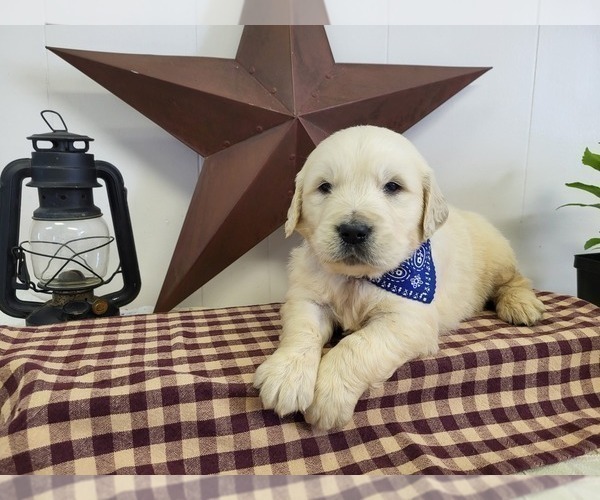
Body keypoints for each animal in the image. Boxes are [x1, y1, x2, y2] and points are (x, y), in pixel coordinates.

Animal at [253, 124, 544, 430]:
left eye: (392, 186)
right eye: (324, 187)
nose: (353, 231)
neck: (359, 278)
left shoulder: (408, 320)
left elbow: (356, 345)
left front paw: (330, 394)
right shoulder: (306, 297)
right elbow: (302, 329)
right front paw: (285, 377)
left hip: (498, 257)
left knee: (515, 280)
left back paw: (521, 305)